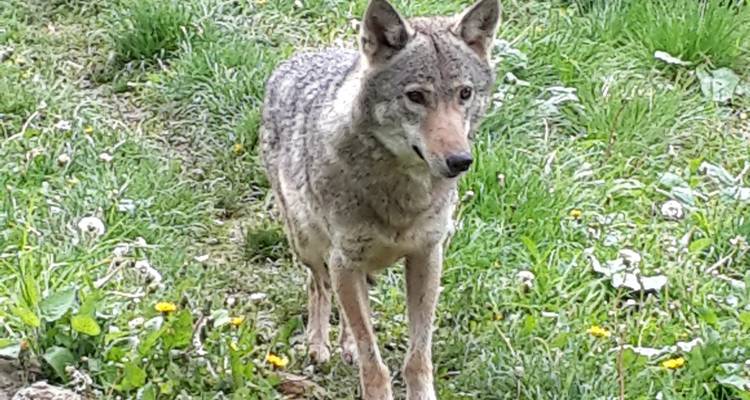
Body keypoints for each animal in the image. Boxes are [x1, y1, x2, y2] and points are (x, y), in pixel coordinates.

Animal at [260, 0, 500, 398]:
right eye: (416, 96)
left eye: (464, 94)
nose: (460, 161)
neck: (402, 196)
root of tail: (296, 60)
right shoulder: (344, 261)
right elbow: (374, 361)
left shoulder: (427, 256)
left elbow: (416, 356)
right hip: (308, 245)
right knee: (319, 285)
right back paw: (318, 345)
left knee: (351, 317)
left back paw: (343, 346)